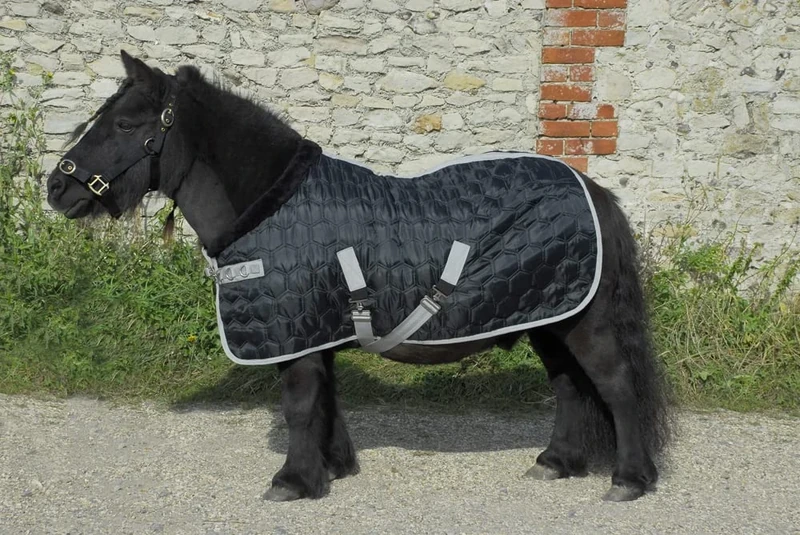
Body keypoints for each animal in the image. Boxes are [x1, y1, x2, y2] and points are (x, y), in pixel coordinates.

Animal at [46, 51, 673, 503]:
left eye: (124, 123)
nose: (56, 187)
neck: (273, 203)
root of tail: (590, 188)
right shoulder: (316, 330)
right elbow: (325, 401)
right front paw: (331, 468)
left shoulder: (297, 332)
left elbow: (300, 405)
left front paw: (292, 482)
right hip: (549, 316)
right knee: (569, 386)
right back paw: (556, 462)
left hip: (584, 323)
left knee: (616, 385)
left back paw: (629, 479)